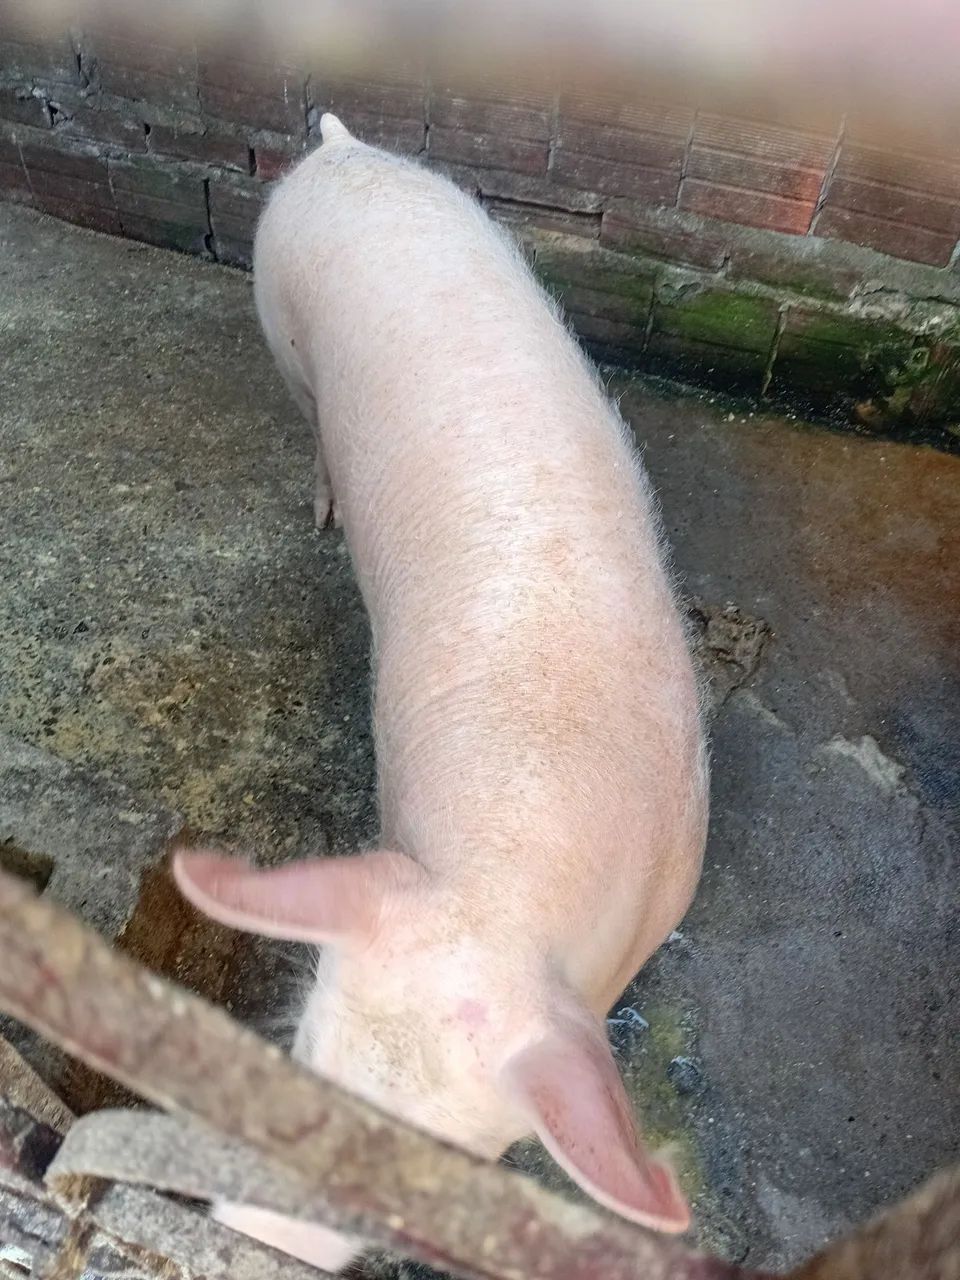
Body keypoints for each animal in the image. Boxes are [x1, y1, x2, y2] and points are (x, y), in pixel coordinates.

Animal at [173, 111, 708, 1272]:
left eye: (439, 1164)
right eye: (299, 1057)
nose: (242, 1242)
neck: (501, 892)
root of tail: (342, 151)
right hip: (276, 314)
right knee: (310, 424)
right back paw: (323, 513)